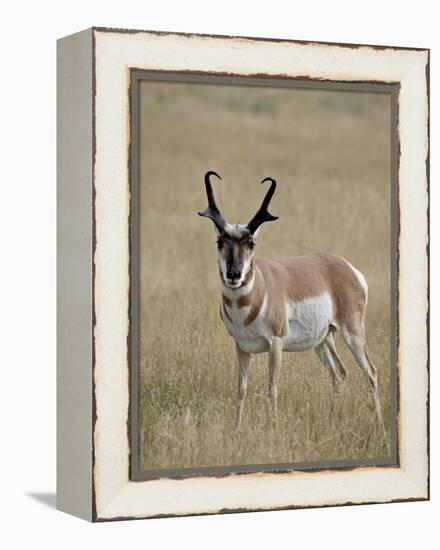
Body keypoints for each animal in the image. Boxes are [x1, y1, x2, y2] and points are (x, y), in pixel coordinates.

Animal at [198, 172, 384, 432]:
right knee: (340, 374)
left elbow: (272, 388)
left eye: (251, 243)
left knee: (371, 372)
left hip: (352, 333)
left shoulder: (275, 343)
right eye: (220, 242)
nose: (234, 274)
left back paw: (379, 424)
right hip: (323, 340)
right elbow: (241, 390)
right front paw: (236, 429)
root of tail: (347, 267)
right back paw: (332, 419)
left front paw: (273, 428)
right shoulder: (242, 347)